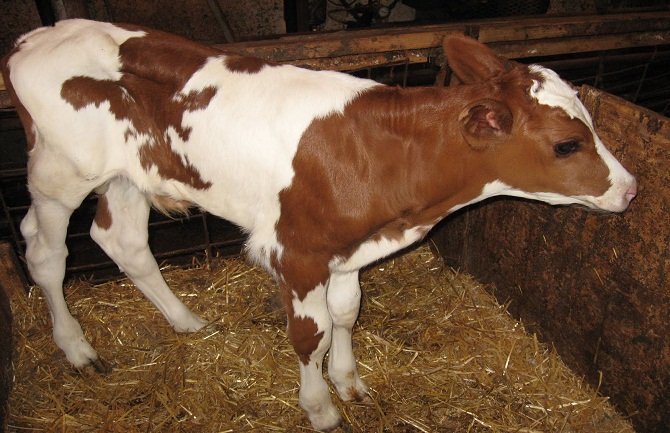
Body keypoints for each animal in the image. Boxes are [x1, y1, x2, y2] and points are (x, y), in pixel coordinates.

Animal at [2, 19, 636, 428]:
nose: (631, 189)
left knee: (123, 240)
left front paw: (349, 382)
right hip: (59, 172)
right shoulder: (298, 250)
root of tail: (37, 36)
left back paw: (187, 322)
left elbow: (346, 313)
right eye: (567, 144)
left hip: (127, 173)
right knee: (45, 254)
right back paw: (77, 349)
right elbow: (310, 334)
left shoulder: (350, 245)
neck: (385, 154)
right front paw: (321, 408)